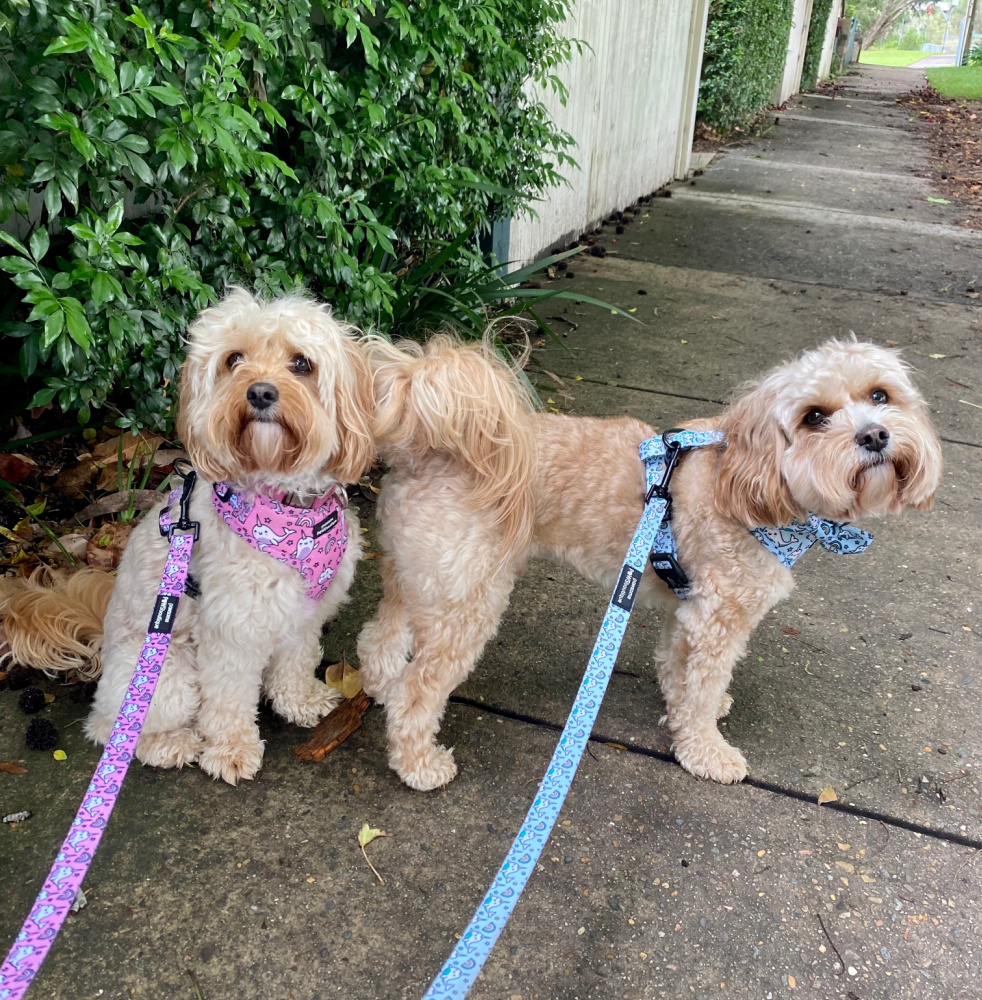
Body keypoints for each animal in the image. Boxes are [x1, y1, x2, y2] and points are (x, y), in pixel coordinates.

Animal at [362, 336, 944, 788]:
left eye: (880, 395)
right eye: (814, 417)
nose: (875, 434)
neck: (749, 485)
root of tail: (427, 450)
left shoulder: (688, 609)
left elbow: (678, 667)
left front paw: (692, 710)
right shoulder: (719, 617)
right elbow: (702, 684)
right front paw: (706, 749)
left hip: (421, 578)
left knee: (380, 638)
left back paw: (380, 685)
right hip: (468, 601)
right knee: (419, 690)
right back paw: (418, 764)